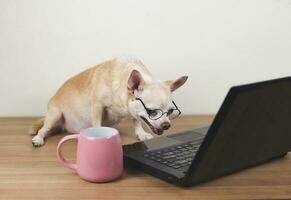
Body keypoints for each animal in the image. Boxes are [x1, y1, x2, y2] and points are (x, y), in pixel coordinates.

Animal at [29, 56, 188, 147]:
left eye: (170, 112)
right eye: (151, 111)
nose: (167, 125)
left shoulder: (133, 109)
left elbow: (136, 120)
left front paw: (141, 134)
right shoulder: (97, 105)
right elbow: (97, 123)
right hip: (55, 115)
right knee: (44, 129)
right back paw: (38, 138)